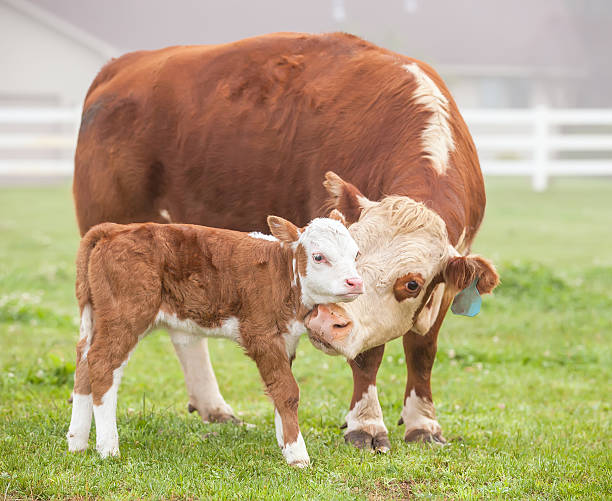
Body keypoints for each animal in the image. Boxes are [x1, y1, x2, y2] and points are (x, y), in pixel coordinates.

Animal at [65, 212, 364, 464]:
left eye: (356, 253)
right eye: (318, 257)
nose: (355, 282)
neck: (280, 275)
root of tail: (115, 229)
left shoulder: (286, 338)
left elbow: (278, 390)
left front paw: (283, 442)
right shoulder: (261, 334)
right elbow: (287, 391)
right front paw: (297, 454)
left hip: (95, 316)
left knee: (84, 361)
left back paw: (77, 442)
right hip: (126, 315)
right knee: (103, 364)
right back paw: (108, 448)